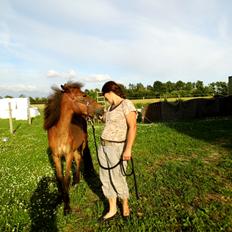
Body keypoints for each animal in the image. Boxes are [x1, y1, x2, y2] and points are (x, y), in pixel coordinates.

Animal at [44, 81, 104, 214]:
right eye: (83, 96)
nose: (101, 110)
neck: (59, 134)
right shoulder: (56, 157)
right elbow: (60, 178)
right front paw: (60, 199)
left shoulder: (68, 155)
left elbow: (66, 178)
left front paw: (67, 207)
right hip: (76, 148)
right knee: (78, 159)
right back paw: (76, 181)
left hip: (82, 145)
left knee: (80, 159)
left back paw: (77, 182)